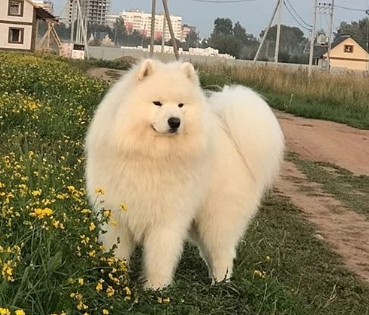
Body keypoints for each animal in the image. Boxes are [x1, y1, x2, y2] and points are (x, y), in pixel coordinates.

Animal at [85, 58, 284, 290]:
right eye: (157, 103)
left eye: (181, 105)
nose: (175, 121)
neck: (153, 155)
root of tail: (232, 139)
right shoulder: (117, 216)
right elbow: (117, 253)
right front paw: (115, 278)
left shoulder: (167, 219)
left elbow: (159, 257)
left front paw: (156, 287)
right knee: (208, 251)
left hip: (217, 218)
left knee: (223, 252)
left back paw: (220, 282)